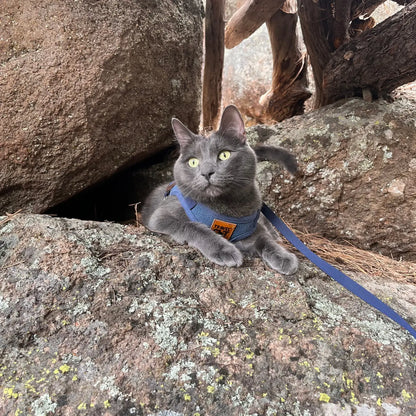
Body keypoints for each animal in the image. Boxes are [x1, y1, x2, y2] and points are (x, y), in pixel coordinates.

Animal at [142, 104, 300, 274]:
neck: (224, 209)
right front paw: (225, 250)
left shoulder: (249, 227)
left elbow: (263, 238)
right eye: (193, 162)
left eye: (224, 155)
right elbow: (193, 226)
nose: (206, 172)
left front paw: (283, 256)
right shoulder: (159, 217)